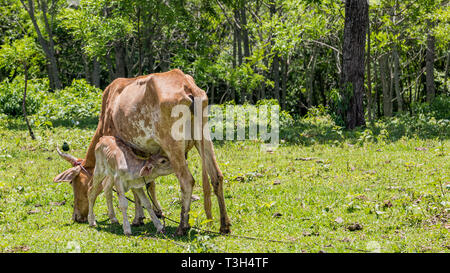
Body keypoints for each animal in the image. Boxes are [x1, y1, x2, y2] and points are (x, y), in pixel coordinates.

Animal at [53, 69, 232, 235]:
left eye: (73, 182)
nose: (76, 217)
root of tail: (187, 85)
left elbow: (133, 186)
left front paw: (138, 218)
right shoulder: (145, 152)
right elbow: (147, 183)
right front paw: (154, 213)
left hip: (172, 145)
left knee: (187, 181)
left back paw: (182, 226)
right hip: (204, 138)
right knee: (216, 176)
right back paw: (224, 225)